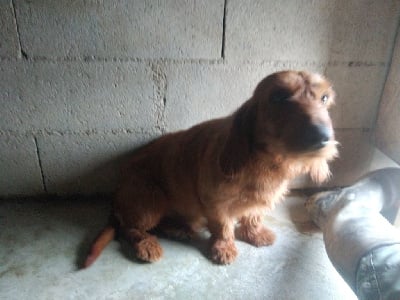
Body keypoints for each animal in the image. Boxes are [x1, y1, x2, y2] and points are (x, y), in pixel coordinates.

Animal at [83, 70, 338, 268]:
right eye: (278, 96)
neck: (266, 160)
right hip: (149, 202)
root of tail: (117, 198)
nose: (323, 137)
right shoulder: (215, 203)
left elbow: (253, 216)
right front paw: (224, 247)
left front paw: (254, 233)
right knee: (129, 228)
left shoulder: (258, 202)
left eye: (324, 98)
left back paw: (177, 229)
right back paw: (147, 243)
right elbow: (223, 227)